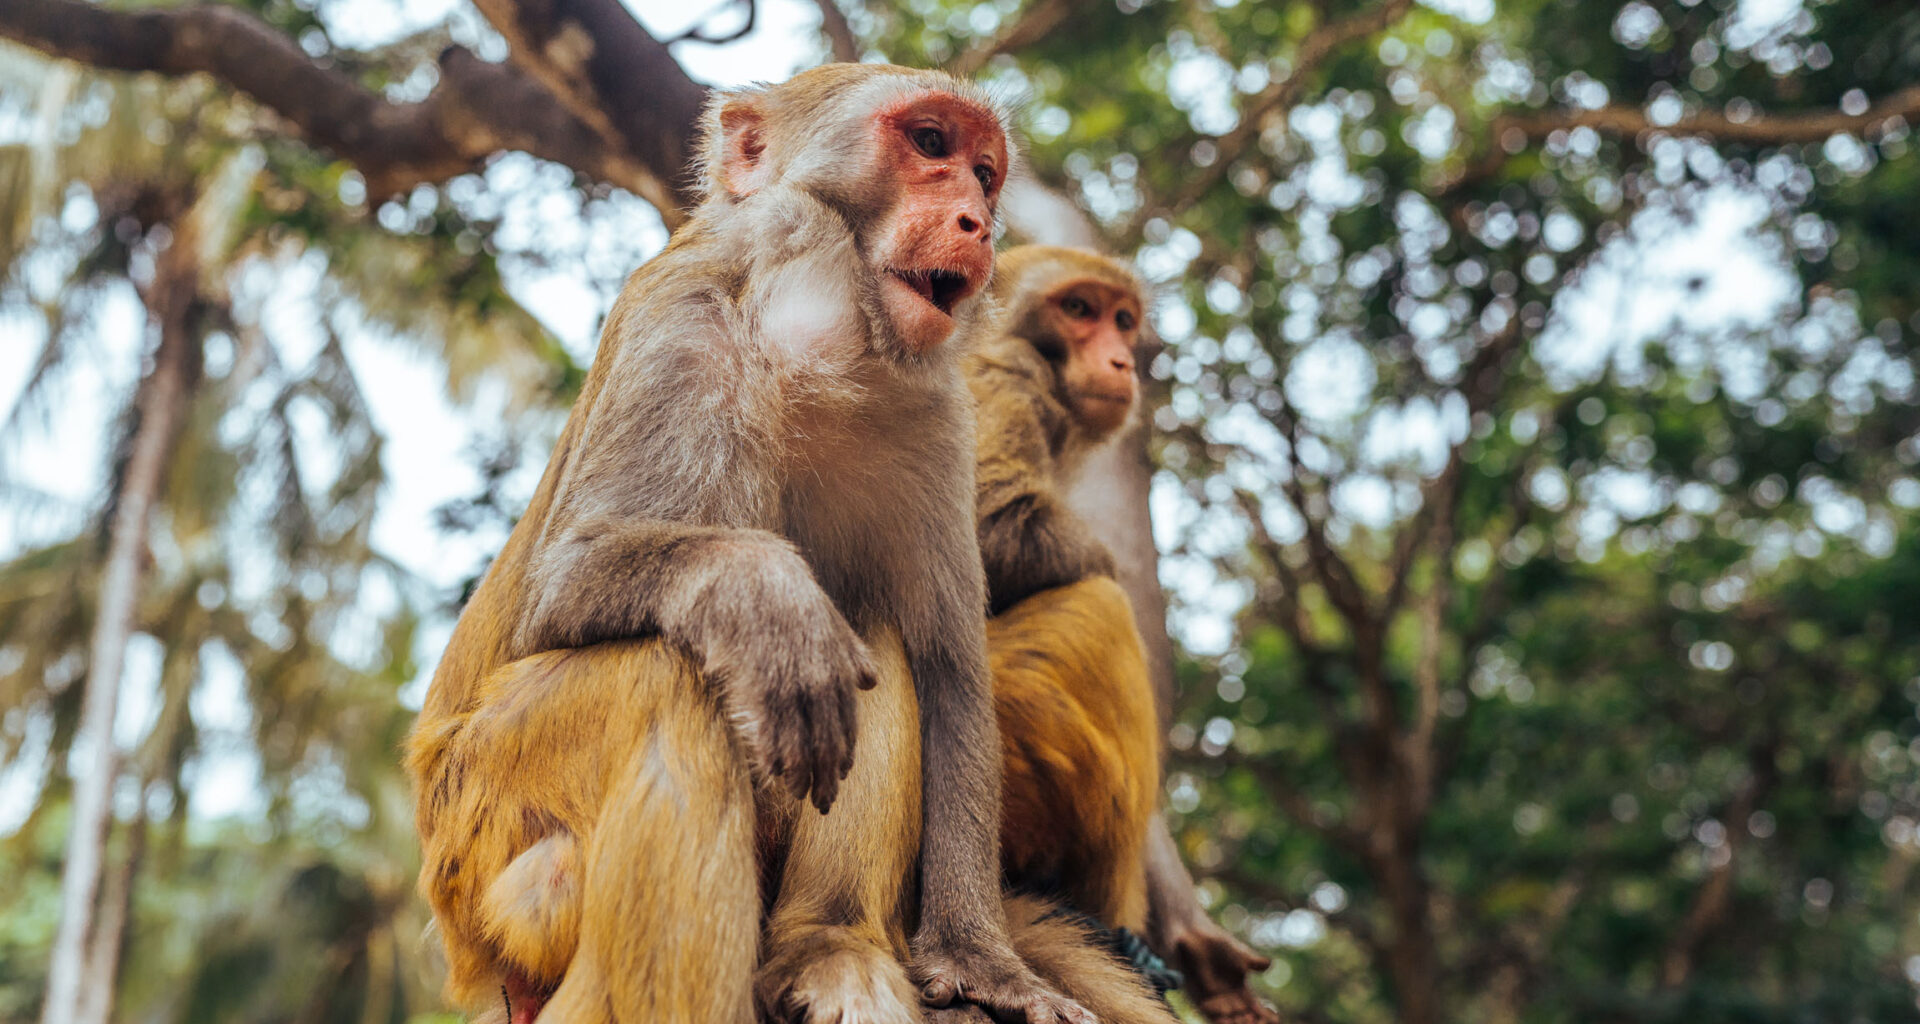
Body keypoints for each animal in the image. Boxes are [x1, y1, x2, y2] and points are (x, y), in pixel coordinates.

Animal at [405, 65, 1099, 1024]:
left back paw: (826, 946)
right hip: (475, 835)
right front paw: (755, 590)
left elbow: (950, 672)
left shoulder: (938, 419)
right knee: (669, 681)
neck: (807, 358)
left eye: (984, 175)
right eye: (929, 144)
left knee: (868, 633)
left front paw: (979, 959)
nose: (978, 222)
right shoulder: (675, 325)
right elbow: (565, 582)